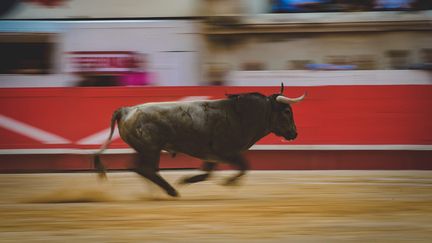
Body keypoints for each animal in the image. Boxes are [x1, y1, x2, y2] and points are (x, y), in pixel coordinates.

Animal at [94, 84, 306, 197]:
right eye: (287, 111)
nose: (295, 133)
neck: (240, 115)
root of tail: (127, 110)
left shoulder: (212, 154)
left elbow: (207, 173)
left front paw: (188, 179)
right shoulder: (226, 151)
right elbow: (244, 166)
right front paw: (228, 182)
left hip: (145, 150)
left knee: (140, 168)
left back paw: (158, 192)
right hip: (151, 149)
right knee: (146, 169)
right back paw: (171, 191)